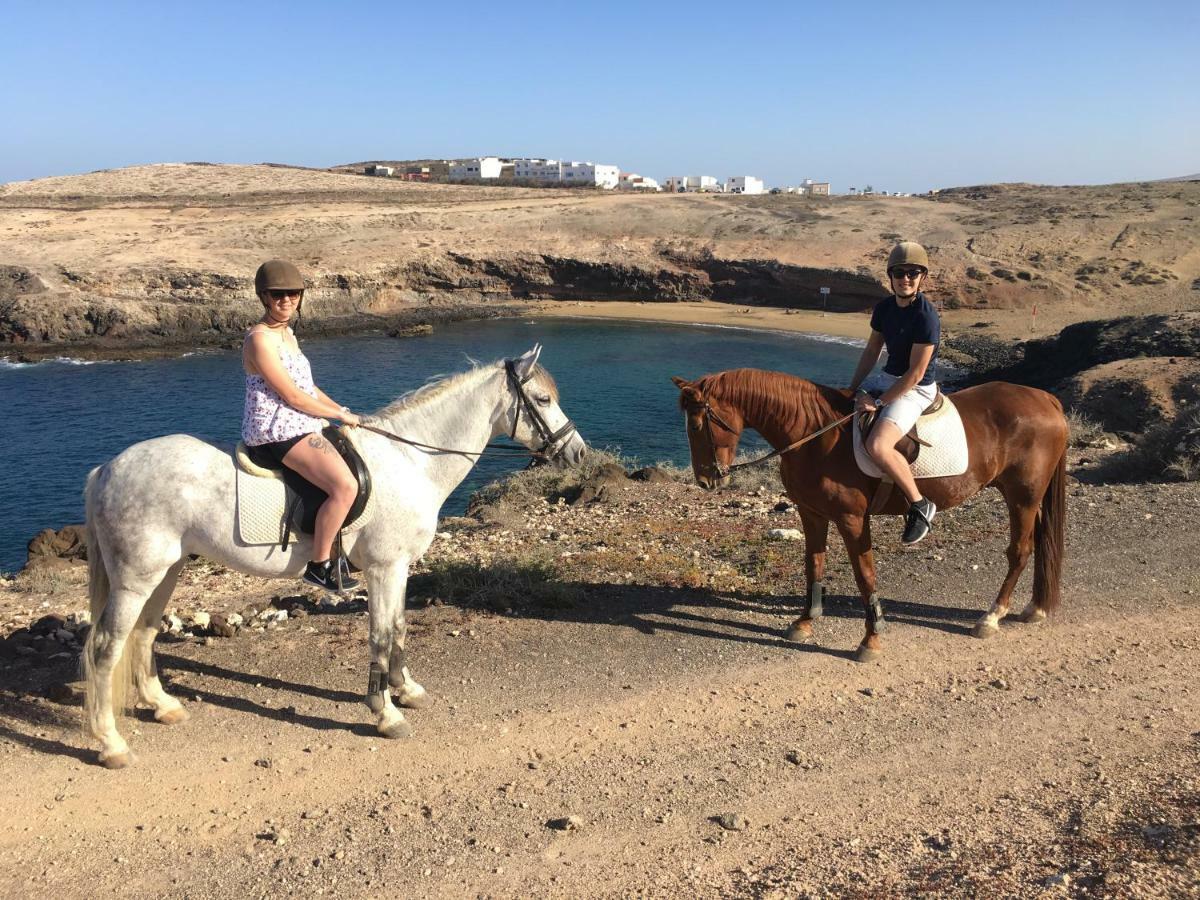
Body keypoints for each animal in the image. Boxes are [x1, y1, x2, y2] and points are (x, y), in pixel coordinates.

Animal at [81, 345, 585, 768]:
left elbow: (399, 628)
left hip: (167, 570)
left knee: (143, 633)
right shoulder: (384, 568)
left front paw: (406, 690)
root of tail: (107, 468)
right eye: (542, 399)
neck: (411, 461)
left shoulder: (400, 568)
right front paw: (385, 713)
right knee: (106, 647)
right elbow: (380, 636)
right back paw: (111, 744)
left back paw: (163, 706)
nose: (578, 451)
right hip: (135, 578)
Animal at [672, 367, 1075, 662]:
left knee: (1019, 551)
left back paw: (991, 617)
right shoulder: (812, 513)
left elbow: (864, 575)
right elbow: (813, 565)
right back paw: (1033, 608)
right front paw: (805, 622)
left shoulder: (852, 519)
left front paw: (871, 639)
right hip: (1027, 498)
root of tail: (1046, 399)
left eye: (698, 425)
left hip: (1023, 497)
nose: (706, 480)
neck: (817, 436)